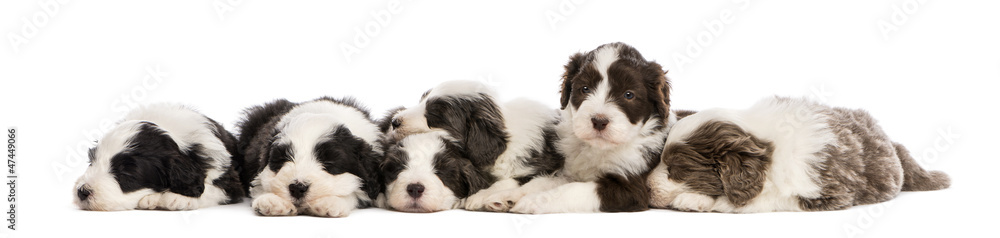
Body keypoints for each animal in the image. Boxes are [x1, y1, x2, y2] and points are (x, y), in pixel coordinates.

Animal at [73, 103, 244, 210]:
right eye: (92, 161)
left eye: (126, 173)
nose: (82, 191)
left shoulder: (231, 181)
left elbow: (211, 188)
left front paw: (179, 198)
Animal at [376, 80, 564, 212]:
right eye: (421, 101)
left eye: (435, 116)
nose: (394, 122)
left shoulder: (542, 165)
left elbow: (513, 180)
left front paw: (481, 196)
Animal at [484, 41, 680, 213]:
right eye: (585, 89)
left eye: (628, 94)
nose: (599, 121)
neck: (600, 148)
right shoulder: (569, 172)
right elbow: (541, 182)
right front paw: (507, 195)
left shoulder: (631, 188)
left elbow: (573, 189)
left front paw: (534, 201)